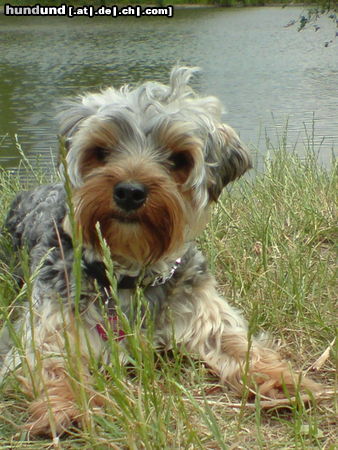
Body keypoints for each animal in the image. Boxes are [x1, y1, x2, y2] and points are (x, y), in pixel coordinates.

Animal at [0, 67, 320, 436]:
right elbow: (53, 364)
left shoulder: (202, 312)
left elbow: (241, 345)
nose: (129, 191)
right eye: (100, 151)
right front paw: (69, 406)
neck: (130, 275)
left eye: (178, 159)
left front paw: (285, 381)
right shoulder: (49, 329)